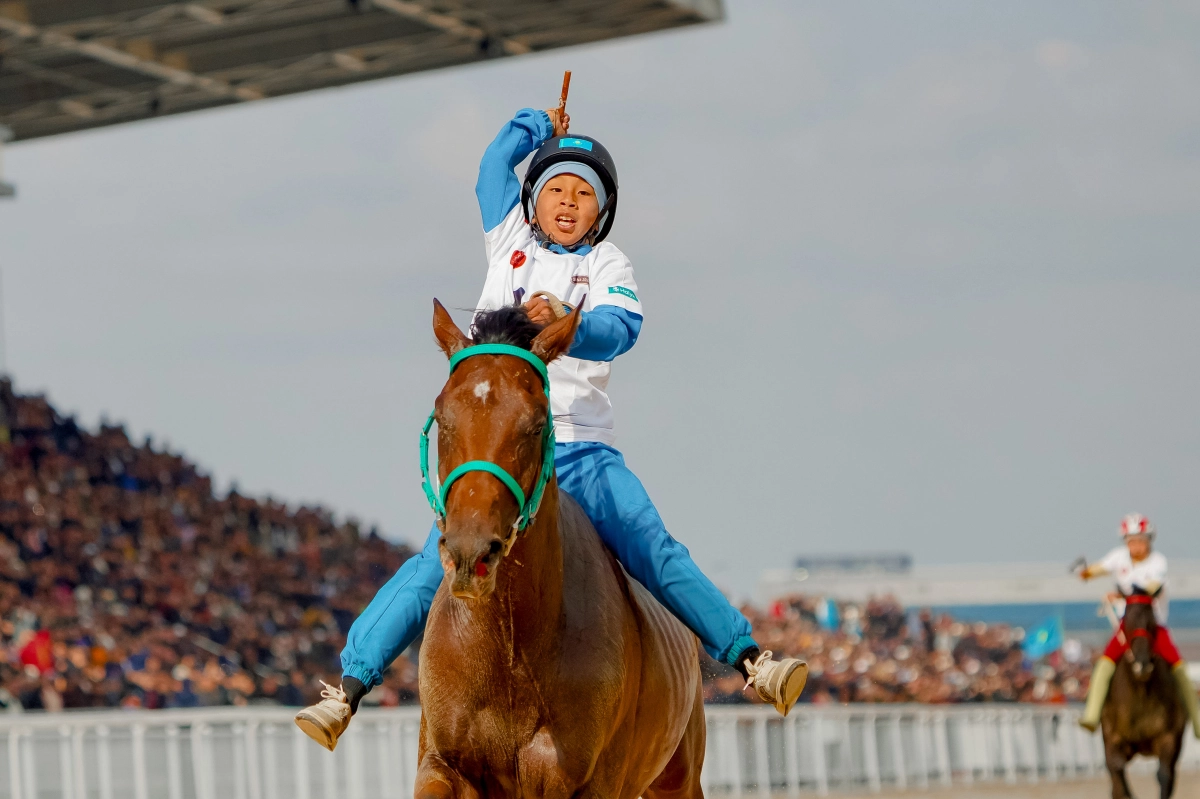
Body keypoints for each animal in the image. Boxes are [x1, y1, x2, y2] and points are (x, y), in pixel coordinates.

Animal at [417, 299, 705, 796]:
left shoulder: (586, 779)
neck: (510, 645)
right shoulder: (441, 761)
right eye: (443, 418)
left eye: (535, 425)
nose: (470, 554)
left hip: (679, 778)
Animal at [1099, 585, 1185, 796]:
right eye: (1126, 621)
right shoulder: (1113, 738)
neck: (1140, 694)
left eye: (1152, 622)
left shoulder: (1168, 737)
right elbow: (1118, 774)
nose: (1142, 664)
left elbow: (1164, 775)